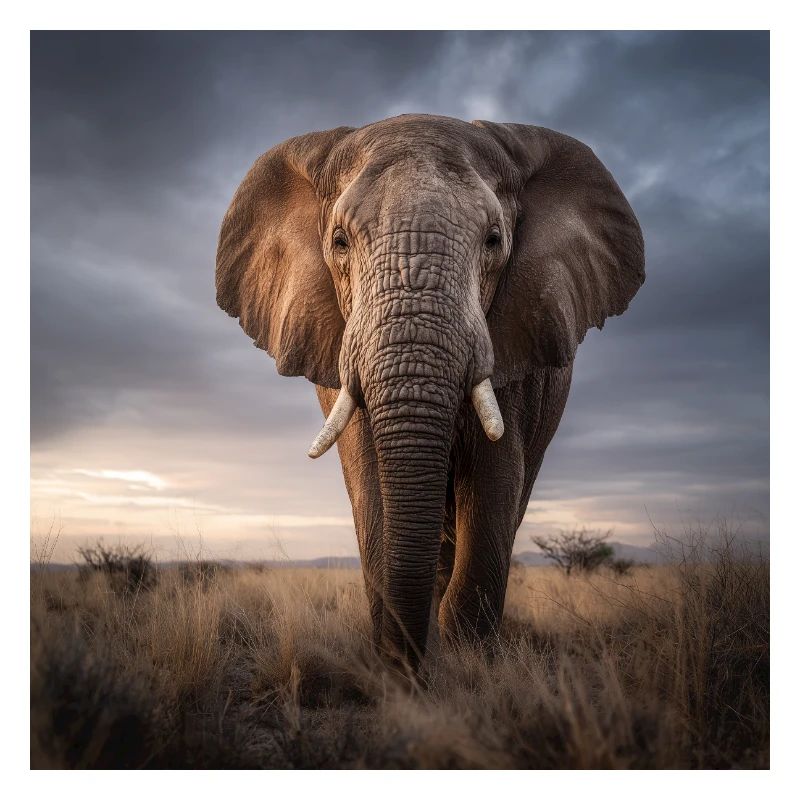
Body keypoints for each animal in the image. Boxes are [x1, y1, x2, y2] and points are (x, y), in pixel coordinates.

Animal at [216, 114, 644, 669]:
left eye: (493, 240)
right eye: (340, 241)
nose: (408, 668)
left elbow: (494, 481)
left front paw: (469, 665)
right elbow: (369, 480)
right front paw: (405, 666)